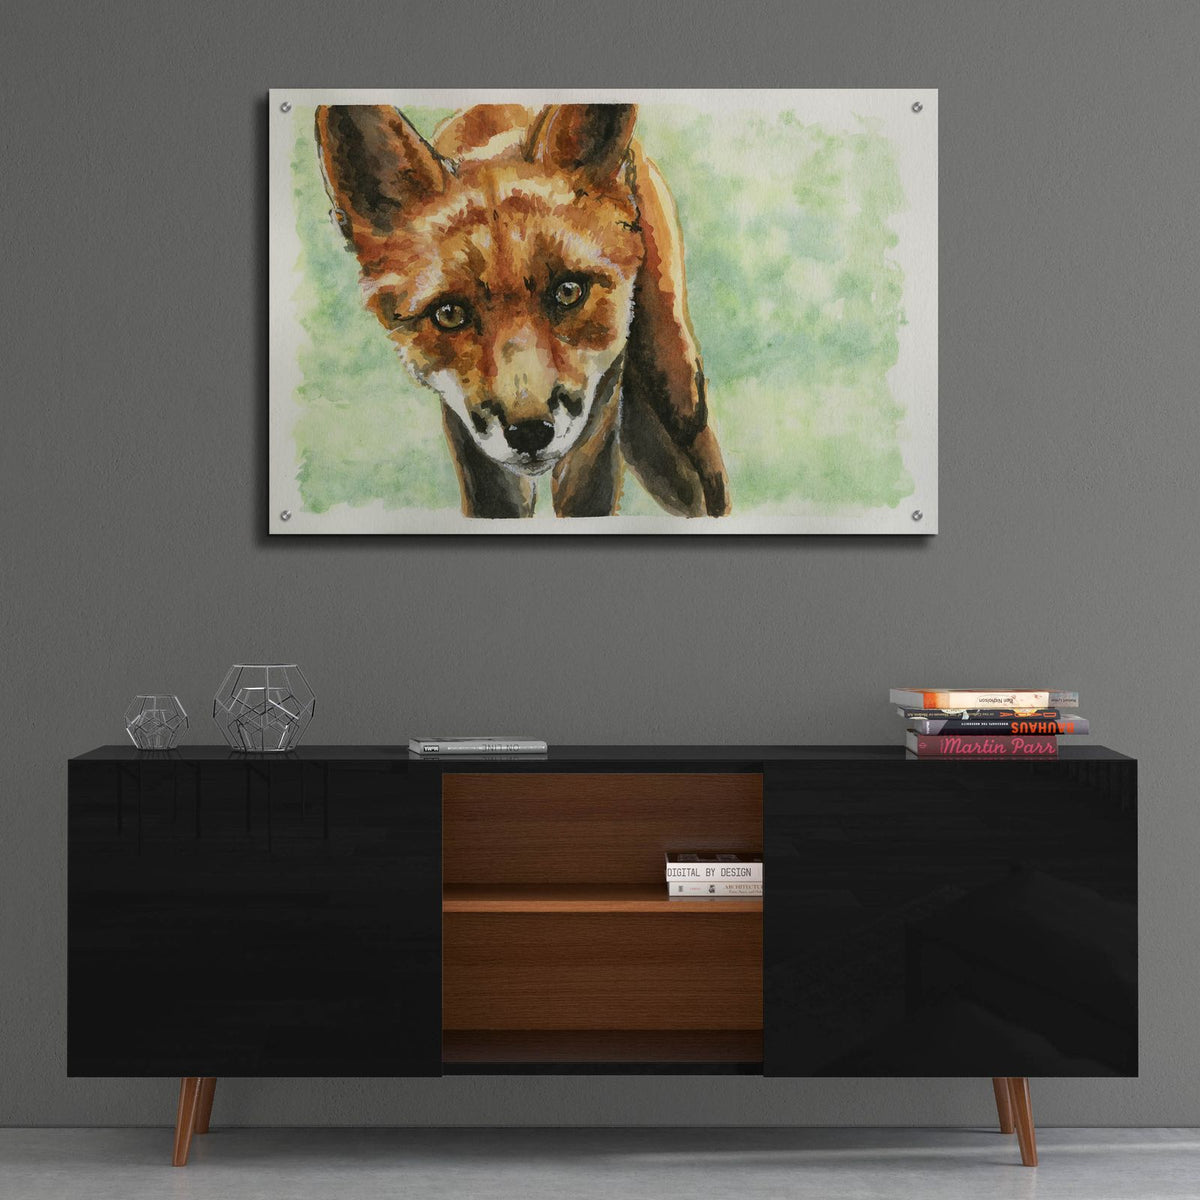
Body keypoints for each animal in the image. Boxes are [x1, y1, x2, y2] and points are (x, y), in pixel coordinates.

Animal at [314, 103, 730, 518]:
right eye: (449, 314)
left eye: (568, 291)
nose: (529, 432)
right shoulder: (468, 434)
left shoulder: (601, 404)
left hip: (680, 402)